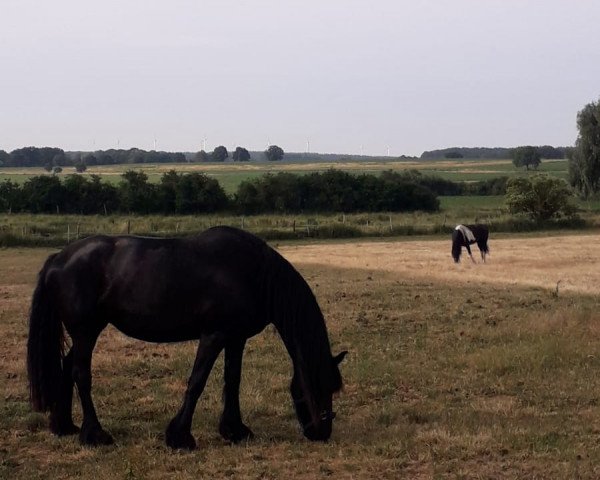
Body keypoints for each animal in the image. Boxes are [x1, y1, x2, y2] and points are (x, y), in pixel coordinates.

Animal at [27, 227, 346, 448]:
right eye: (321, 385)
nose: (322, 432)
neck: (252, 273)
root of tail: (59, 258)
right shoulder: (214, 336)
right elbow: (197, 382)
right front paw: (180, 437)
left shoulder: (236, 338)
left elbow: (233, 380)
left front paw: (235, 430)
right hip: (86, 331)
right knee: (81, 374)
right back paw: (95, 434)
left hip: (85, 333)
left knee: (67, 366)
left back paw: (64, 426)